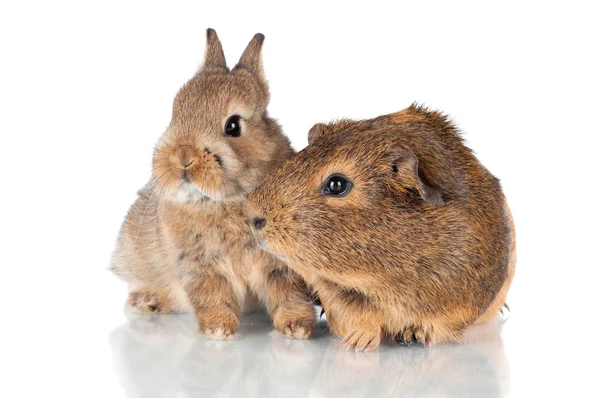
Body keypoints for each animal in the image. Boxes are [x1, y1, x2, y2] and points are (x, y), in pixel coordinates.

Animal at [113, 28, 318, 338]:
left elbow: (288, 293)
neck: (226, 200)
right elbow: (211, 294)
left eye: (233, 125)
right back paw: (148, 301)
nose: (184, 156)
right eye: (175, 115)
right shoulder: (200, 264)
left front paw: (297, 328)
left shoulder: (281, 262)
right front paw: (218, 330)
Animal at [248, 104, 516, 350]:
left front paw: (415, 335)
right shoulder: (335, 296)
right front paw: (357, 343)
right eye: (296, 158)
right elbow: (357, 320)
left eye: (337, 184)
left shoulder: (459, 306)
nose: (253, 217)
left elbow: (439, 326)